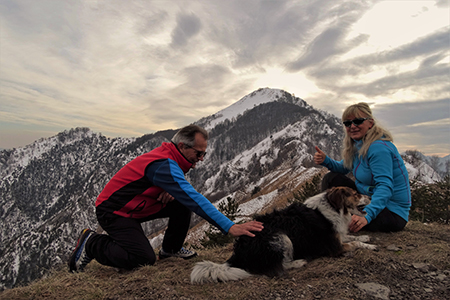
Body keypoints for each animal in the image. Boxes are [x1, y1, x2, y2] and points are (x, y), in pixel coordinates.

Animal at [190, 185, 376, 284]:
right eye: (356, 194)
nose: (370, 195)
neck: (332, 207)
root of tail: (238, 254)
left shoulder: (337, 236)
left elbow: (352, 237)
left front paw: (365, 237)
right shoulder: (334, 246)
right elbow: (354, 243)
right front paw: (370, 245)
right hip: (281, 237)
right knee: (279, 266)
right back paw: (299, 262)